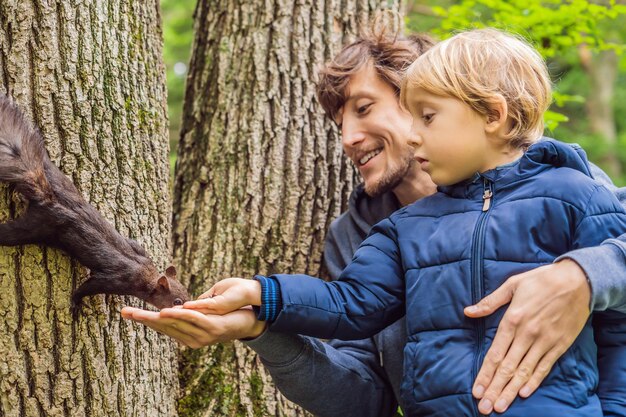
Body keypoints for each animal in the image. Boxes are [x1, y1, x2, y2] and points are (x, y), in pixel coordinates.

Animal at [0, 93, 188, 308]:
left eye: (187, 291)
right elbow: (89, 286)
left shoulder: (140, 251)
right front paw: (75, 302)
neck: (146, 272)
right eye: (176, 301)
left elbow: (134, 243)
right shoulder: (115, 279)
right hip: (36, 226)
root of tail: (48, 197)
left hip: (55, 177)